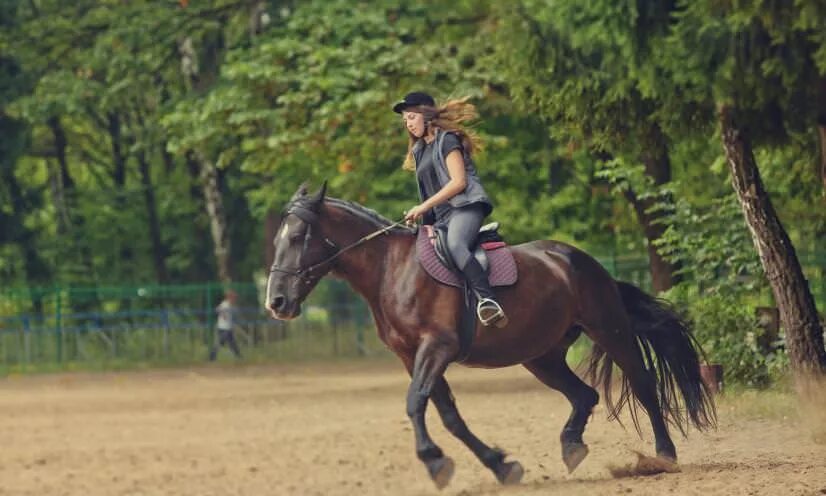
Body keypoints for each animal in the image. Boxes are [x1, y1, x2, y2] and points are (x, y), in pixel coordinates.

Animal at [268, 182, 712, 488]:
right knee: (584, 395)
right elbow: (448, 414)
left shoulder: (437, 347)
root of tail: (581, 260)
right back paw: (572, 446)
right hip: (541, 356)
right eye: (277, 239)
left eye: (298, 238)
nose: (276, 302)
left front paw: (435, 462)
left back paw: (663, 456)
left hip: (608, 330)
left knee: (643, 384)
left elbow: (416, 403)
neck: (392, 270)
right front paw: (501, 465)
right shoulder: (413, 356)